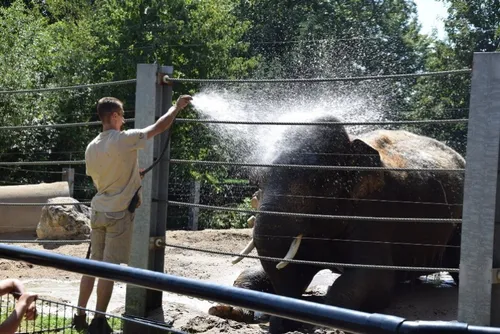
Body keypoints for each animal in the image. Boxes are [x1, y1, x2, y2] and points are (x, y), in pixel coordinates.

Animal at [213, 116, 462, 332]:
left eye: (316, 180)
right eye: (257, 181)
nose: (282, 324)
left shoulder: (375, 215)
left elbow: (375, 278)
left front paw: (320, 324)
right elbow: (276, 271)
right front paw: (226, 309)